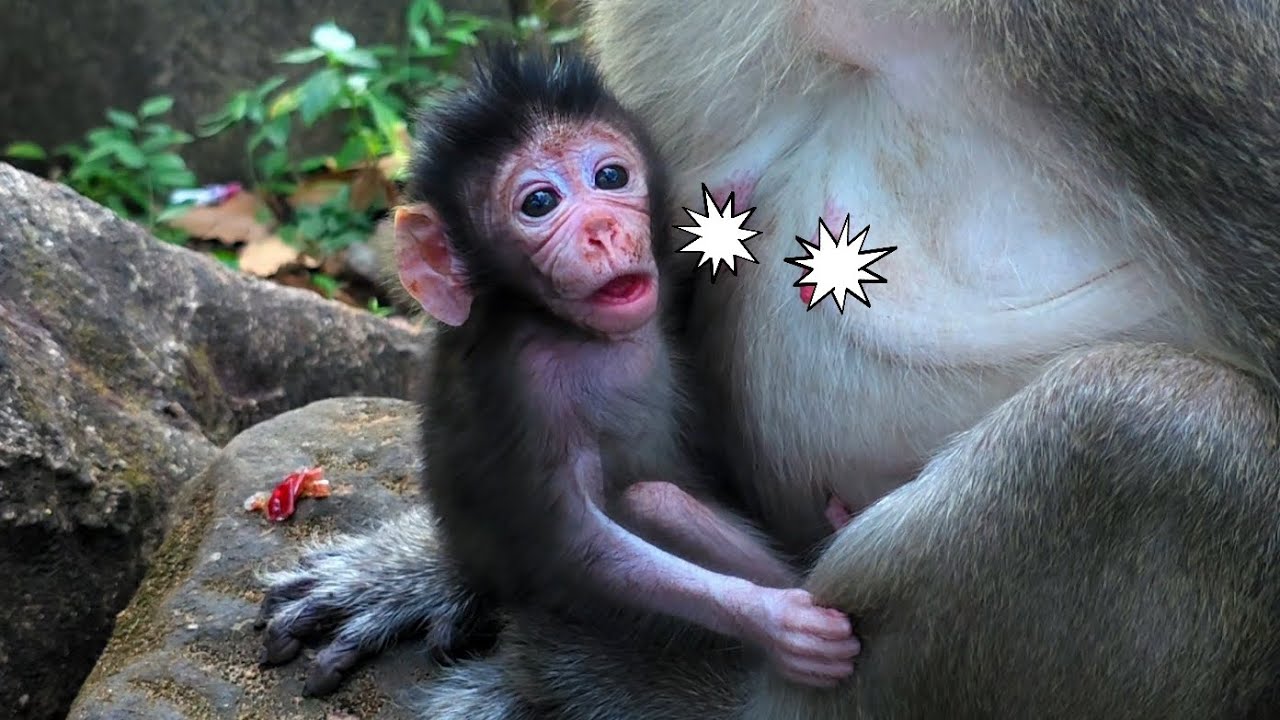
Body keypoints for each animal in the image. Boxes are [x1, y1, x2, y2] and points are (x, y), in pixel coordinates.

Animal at [256, 1, 1280, 717]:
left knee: (1144, 421)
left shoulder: (1160, 38)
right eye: (542, 200)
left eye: (601, 184)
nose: (592, 229)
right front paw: (433, 566)